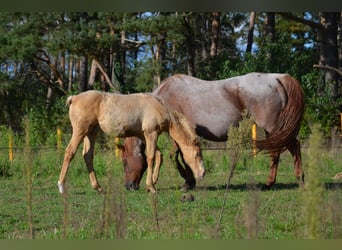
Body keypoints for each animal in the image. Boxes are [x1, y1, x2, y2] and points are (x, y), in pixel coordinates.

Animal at [57, 90, 204, 193]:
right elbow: (151, 157)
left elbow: (158, 155)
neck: (158, 106)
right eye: (197, 154)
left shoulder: (145, 136)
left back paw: (98, 187)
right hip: (80, 131)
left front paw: (152, 183)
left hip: (91, 133)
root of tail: (74, 98)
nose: (202, 174)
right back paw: (61, 186)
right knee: (70, 152)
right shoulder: (151, 134)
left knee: (88, 156)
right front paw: (151, 187)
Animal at [121, 72, 304, 189]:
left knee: (285, 148)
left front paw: (188, 181)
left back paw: (276, 182)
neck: (165, 97)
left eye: (125, 161)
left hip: (272, 127)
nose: (129, 186)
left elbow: (179, 156)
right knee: (287, 148)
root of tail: (277, 78)